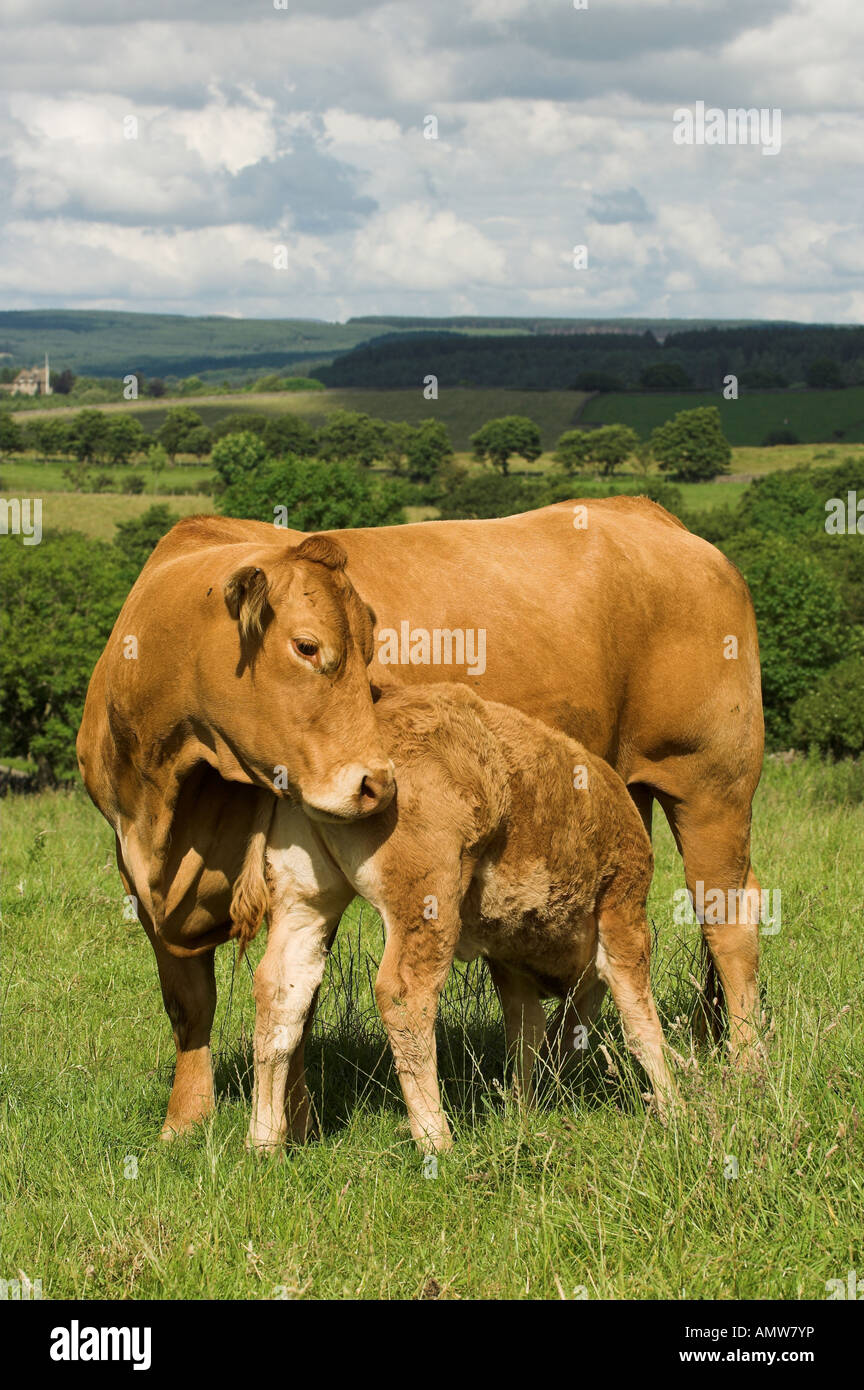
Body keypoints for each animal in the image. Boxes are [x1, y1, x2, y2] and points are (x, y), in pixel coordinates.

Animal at [242, 682, 681, 1154]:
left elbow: (526, 1033)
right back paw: (436, 1138)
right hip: (428, 904)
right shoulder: (623, 910)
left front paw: (522, 1113)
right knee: (404, 997)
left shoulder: (509, 959)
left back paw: (264, 1141)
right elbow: (642, 1025)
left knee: (281, 990)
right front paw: (676, 1110)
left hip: (304, 901)